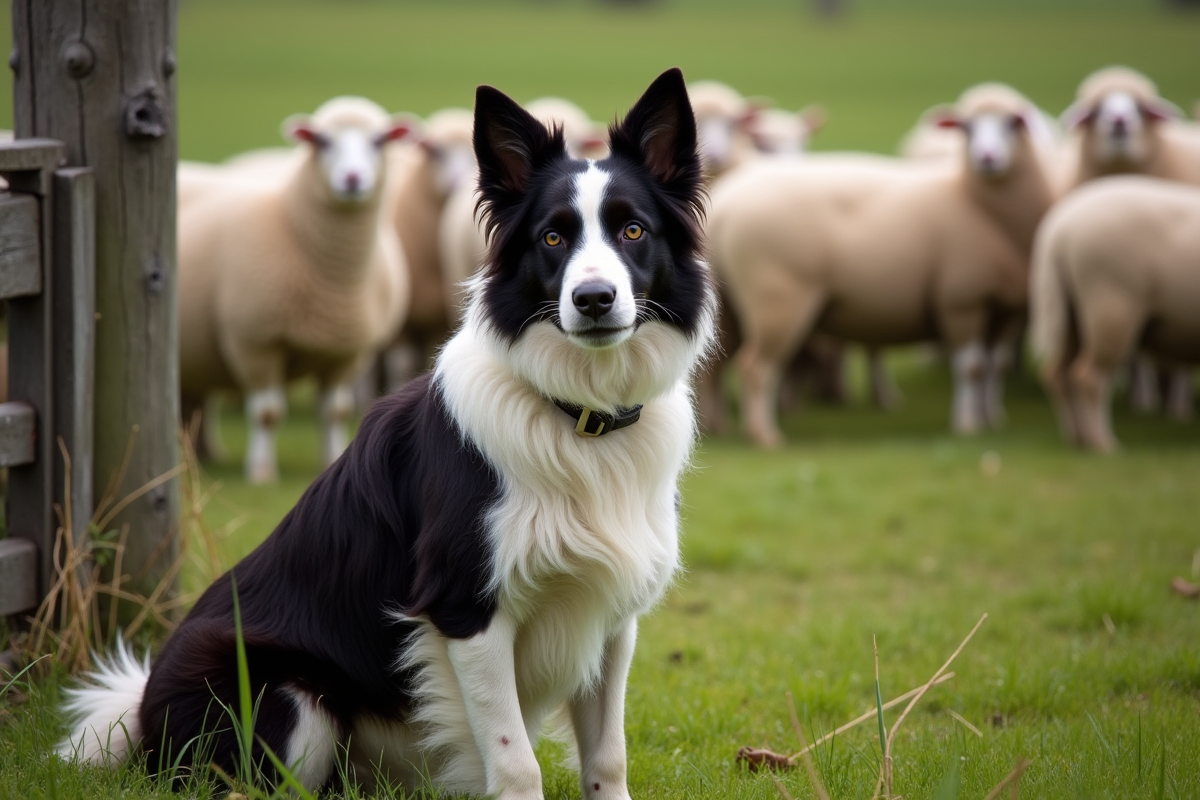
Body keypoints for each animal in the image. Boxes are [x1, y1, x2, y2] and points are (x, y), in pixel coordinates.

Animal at [177, 94, 412, 482]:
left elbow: (335, 411)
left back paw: (203, 454)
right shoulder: (255, 342)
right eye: (323, 141)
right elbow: (267, 413)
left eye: (378, 141)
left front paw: (331, 459)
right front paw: (261, 472)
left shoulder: (347, 350)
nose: (352, 178)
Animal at [705, 84, 1056, 448]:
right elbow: (971, 367)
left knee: (713, 366)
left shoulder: (1008, 307)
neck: (973, 200)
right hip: (778, 299)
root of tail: (725, 205)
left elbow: (996, 366)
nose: (987, 158)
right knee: (755, 367)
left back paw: (717, 425)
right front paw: (968, 425)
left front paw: (993, 419)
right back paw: (764, 435)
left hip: (730, 306)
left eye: (1013, 123)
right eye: (966, 127)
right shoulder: (960, 300)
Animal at [1032, 176, 1200, 450]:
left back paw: (1076, 438)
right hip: (1111, 308)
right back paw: (1103, 444)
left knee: (1057, 374)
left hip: (1072, 317)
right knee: (1089, 376)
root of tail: (1059, 230)